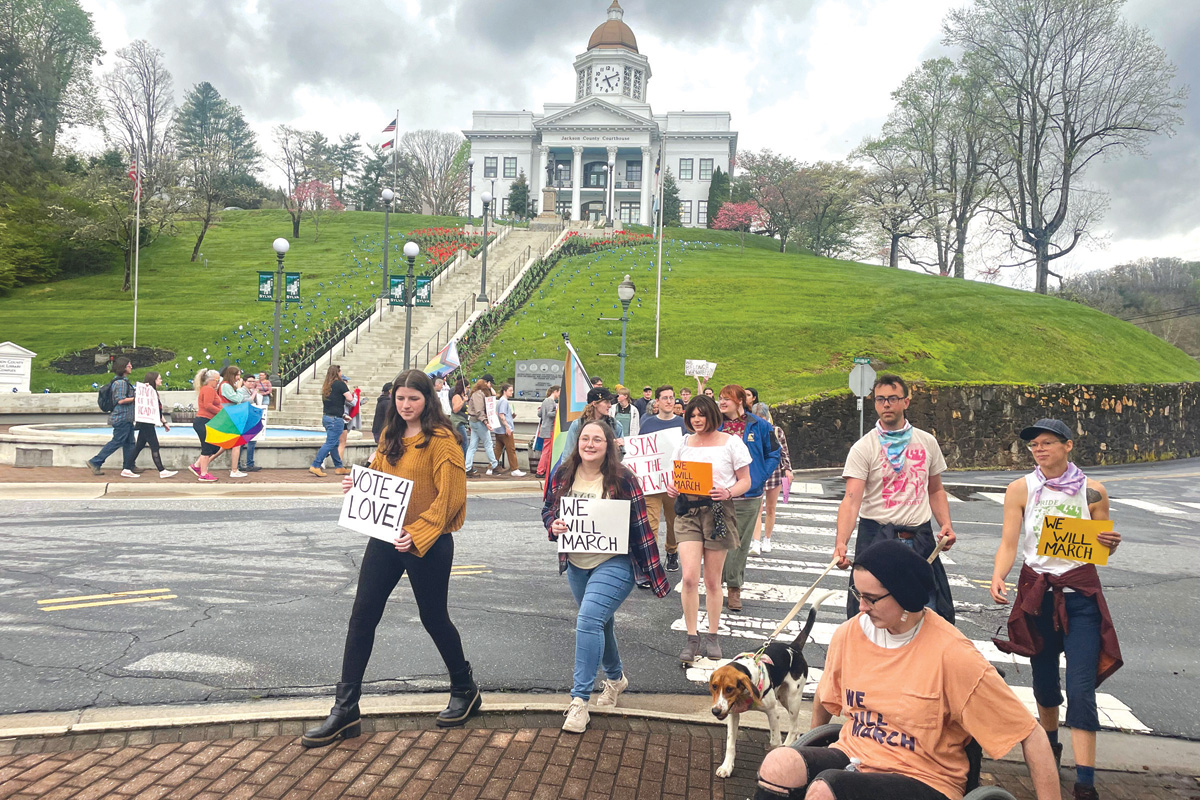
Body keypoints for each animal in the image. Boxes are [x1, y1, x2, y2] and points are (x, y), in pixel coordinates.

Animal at [705, 606, 820, 777]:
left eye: (729, 689)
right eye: (714, 686)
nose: (715, 711)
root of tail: (793, 648)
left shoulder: (772, 712)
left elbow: (774, 741)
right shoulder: (733, 714)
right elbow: (730, 744)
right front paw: (727, 767)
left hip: (793, 699)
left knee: (793, 728)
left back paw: (786, 747)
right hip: (784, 698)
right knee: (796, 728)